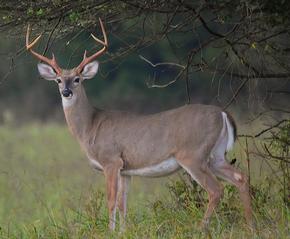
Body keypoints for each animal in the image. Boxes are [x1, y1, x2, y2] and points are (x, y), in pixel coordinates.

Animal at [26, 17, 253, 231]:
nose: (66, 92)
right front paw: (123, 231)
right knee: (240, 177)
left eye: (77, 79)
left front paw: (110, 231)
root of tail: (223, 113)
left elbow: (111, 201)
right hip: (216, 155)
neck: (90, 126)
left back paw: (202, 227)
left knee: (216, 190)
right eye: (58, 80)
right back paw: (252, 224)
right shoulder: (126, 169)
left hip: (193, 154)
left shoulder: (111, 160)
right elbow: (123, 203)